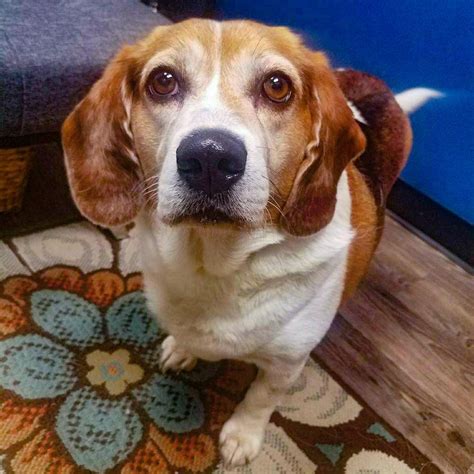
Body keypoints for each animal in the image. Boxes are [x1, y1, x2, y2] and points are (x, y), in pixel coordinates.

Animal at [61, 18, 438, 466]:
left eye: (277, 86)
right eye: (163, 81)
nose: (209, 158)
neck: (215, 261)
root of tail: (375, 83)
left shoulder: (286, 363)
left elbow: (261, 398)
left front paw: (242, 436)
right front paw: (183, 348)